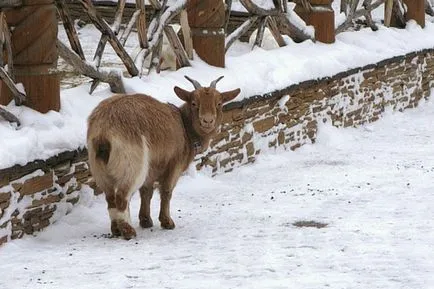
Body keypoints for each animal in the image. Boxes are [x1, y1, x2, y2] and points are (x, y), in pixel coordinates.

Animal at [86, 75, 239, 238]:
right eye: (194, 103)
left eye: (219, 103)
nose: (207, 121)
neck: (184, 127)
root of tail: (104, 131)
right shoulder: (174, 164)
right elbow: (166, 191)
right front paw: (167, 222)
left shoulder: (151, 167)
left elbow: (146, 192)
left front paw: (145, 220)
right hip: (132, 164)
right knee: (121, 197)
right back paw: (128, 230)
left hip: (100, 170)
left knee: (110, 198)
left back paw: (116, 229)